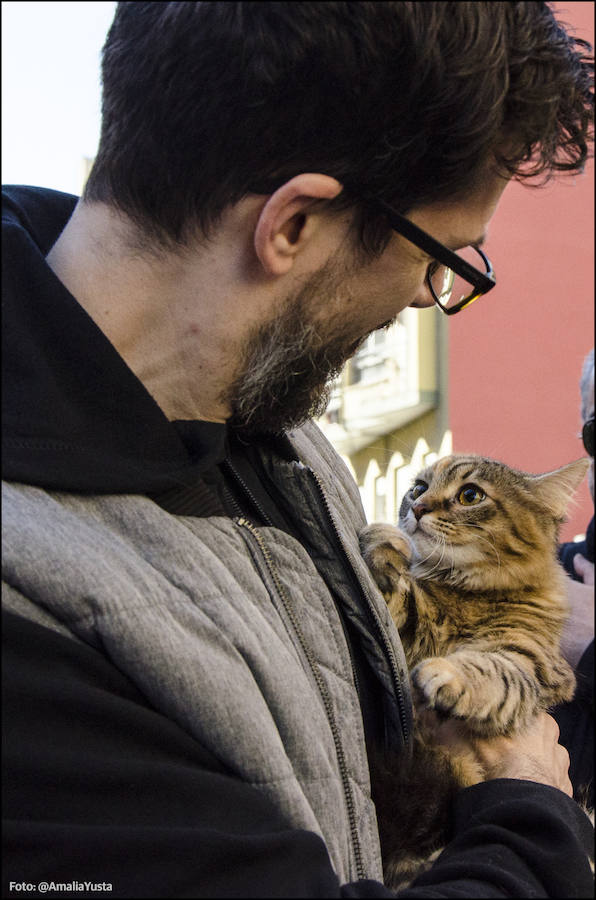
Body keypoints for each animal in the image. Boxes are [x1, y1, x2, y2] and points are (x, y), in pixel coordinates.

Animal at [360, 454, 588, 888]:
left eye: (470, 495)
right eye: (417, 488)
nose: (417, 507)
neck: (467, 595)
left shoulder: (529, 661)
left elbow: (494, 671)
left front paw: (448, 675)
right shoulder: (416, 625)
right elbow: (402, 595)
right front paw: (383, 540)